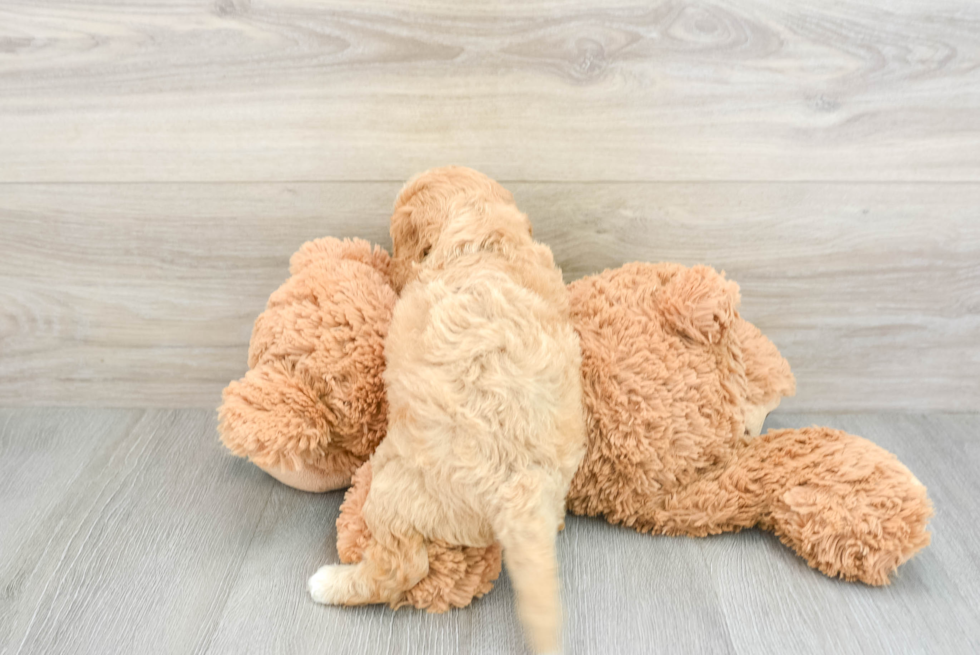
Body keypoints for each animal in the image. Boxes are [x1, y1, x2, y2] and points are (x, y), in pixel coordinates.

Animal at [308, 167, 580, 652]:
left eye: (397, 241)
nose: (392, 267)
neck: (486, 238)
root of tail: (517, 491)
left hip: (394, 495)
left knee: (400, 566)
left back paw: (329, 583)